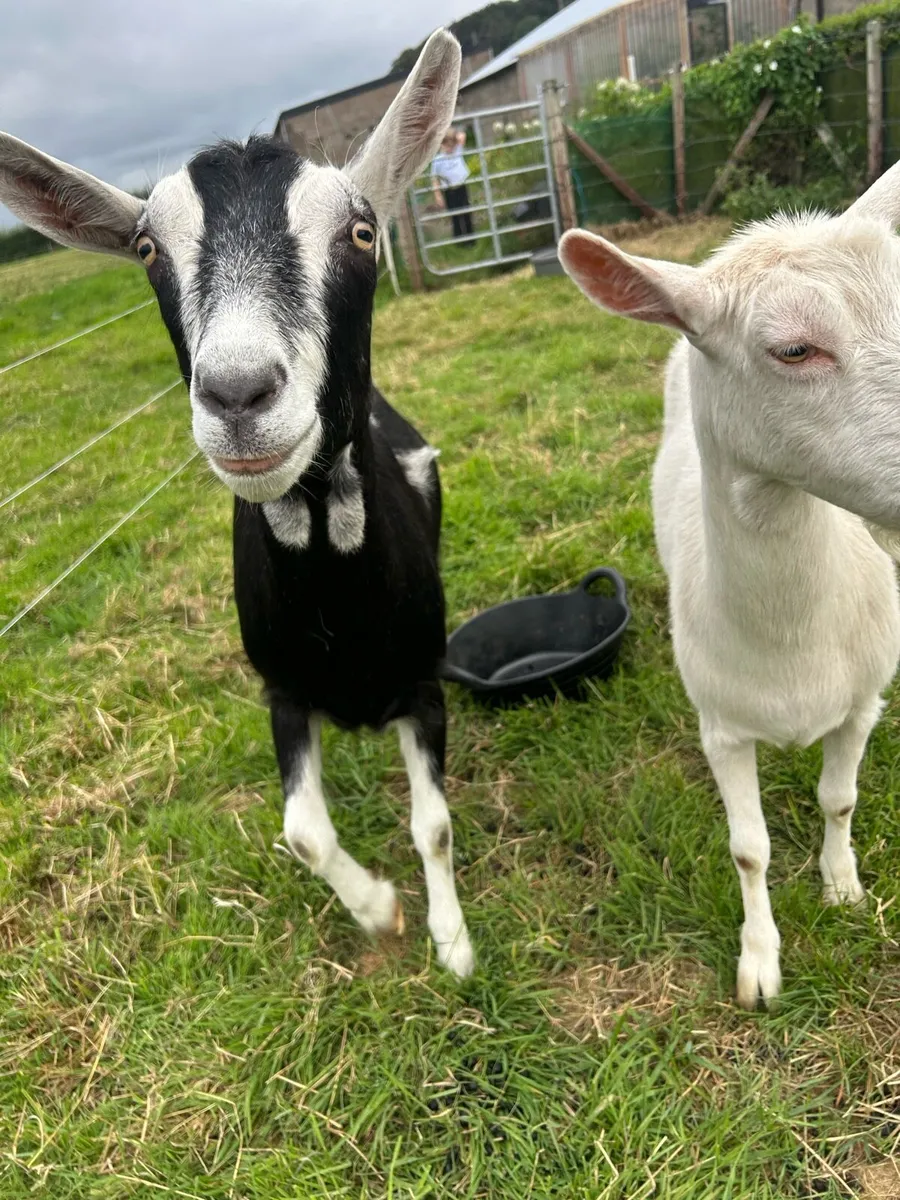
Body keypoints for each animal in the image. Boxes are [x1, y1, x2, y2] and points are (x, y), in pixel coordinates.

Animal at [0, 30, 475, 977]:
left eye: (360, 231)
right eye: (148, 249)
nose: (239, 393)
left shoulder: (422, 684)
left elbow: (433, 824)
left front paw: (451, 941)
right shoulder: (283, 694)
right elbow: (302, 833)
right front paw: (379, 911)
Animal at [559, 167, 900, 1007]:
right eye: (793, 348)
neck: (792, 642)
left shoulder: (863, 701)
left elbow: (839, 798)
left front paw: (842, 889)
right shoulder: (720, 724)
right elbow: (749, 848)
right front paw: (759, 965)